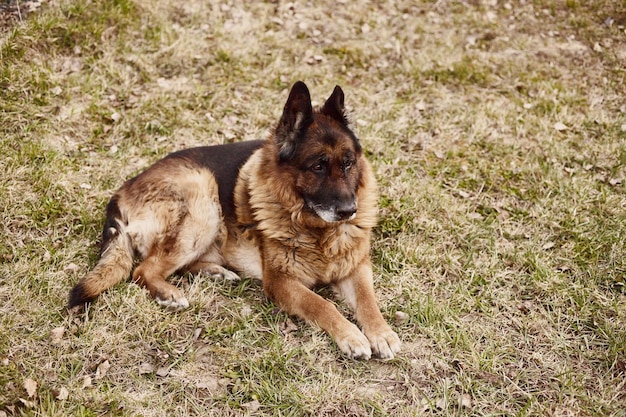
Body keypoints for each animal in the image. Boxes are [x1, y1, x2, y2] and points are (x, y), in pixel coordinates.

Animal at [67, 81, 400, 358]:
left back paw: (215, 272)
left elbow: (368, 299)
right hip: (202, 196)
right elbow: (321, 303)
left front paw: (381, 332)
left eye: (348, 164)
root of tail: (121, 192)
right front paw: (351, 335)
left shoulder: (356, 266)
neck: (316, 230)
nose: (349, 211)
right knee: (143, 270)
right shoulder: (281, 282)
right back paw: (169, 293)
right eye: (318, 166)